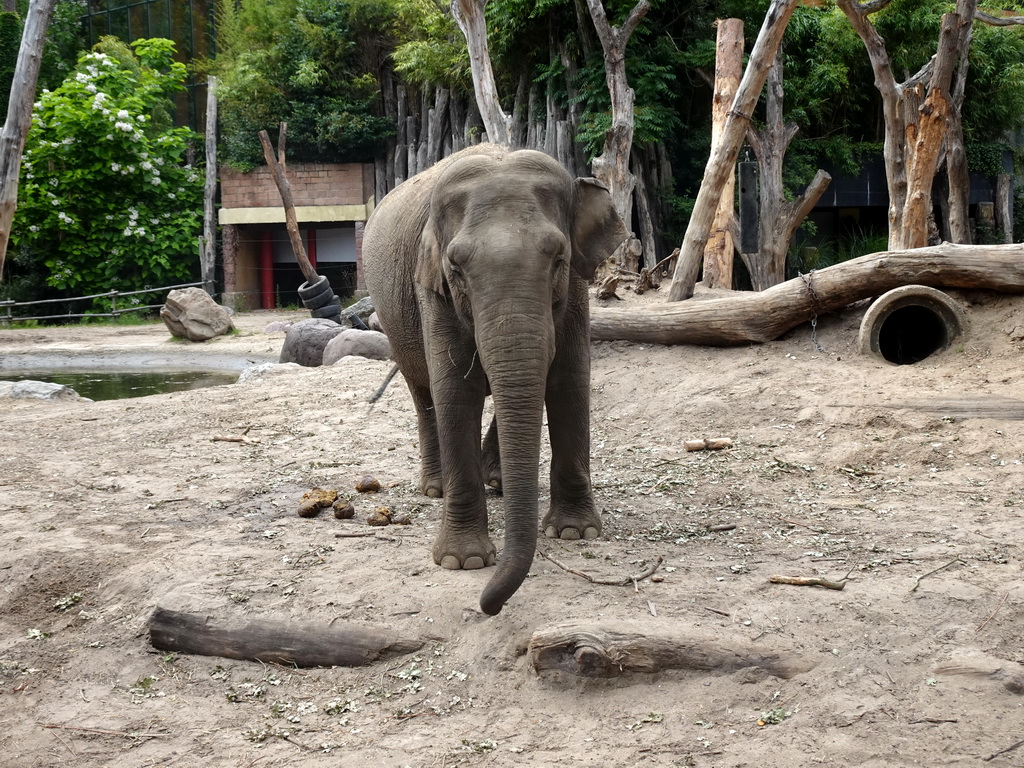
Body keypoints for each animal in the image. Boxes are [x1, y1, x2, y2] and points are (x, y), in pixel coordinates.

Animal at [360, 144, 630, 618]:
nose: (490, 606)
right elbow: (455, 392)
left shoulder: (576, 290)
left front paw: (576, 533)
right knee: (423, 394)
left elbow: (568, 380)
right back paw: (436, 488)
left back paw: (499, 482)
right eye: (456, 267)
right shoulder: (431, 290)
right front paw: (462, 561)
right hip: (394, 322)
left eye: (558, 259)